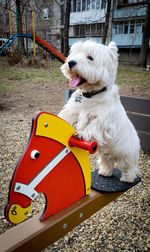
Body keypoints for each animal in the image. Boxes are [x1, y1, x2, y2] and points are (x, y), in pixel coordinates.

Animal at [58, 40, 140, 182]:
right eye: (74, 53)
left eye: (90, 58)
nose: (71, 62)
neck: (90, 95)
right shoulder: (74, 111)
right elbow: (67, 117)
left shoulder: (102, 121)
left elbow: (92, 127)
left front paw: (81, 135)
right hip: (104, 153)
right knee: (107, 162)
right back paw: (105, 172)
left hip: (127, 154)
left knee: (130, 167)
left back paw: (127, 178)